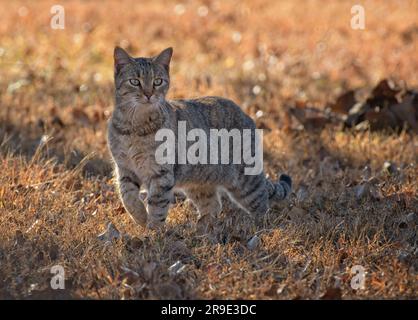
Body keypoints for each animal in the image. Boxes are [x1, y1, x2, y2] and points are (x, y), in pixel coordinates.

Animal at [108, 46, 290, 230]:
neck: (134, 126)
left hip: (246, 182)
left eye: (157, 81)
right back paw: (203, 226)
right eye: (135, 81)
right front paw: (140, 217)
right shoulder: (125, 168)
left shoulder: (161, 173)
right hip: (200, 183)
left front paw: (153, 230)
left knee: (262, 204)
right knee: (213, 205)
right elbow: (127, 196)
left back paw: (260, 226)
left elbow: (157, 205)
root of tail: (245, 113)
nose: (148, 94)